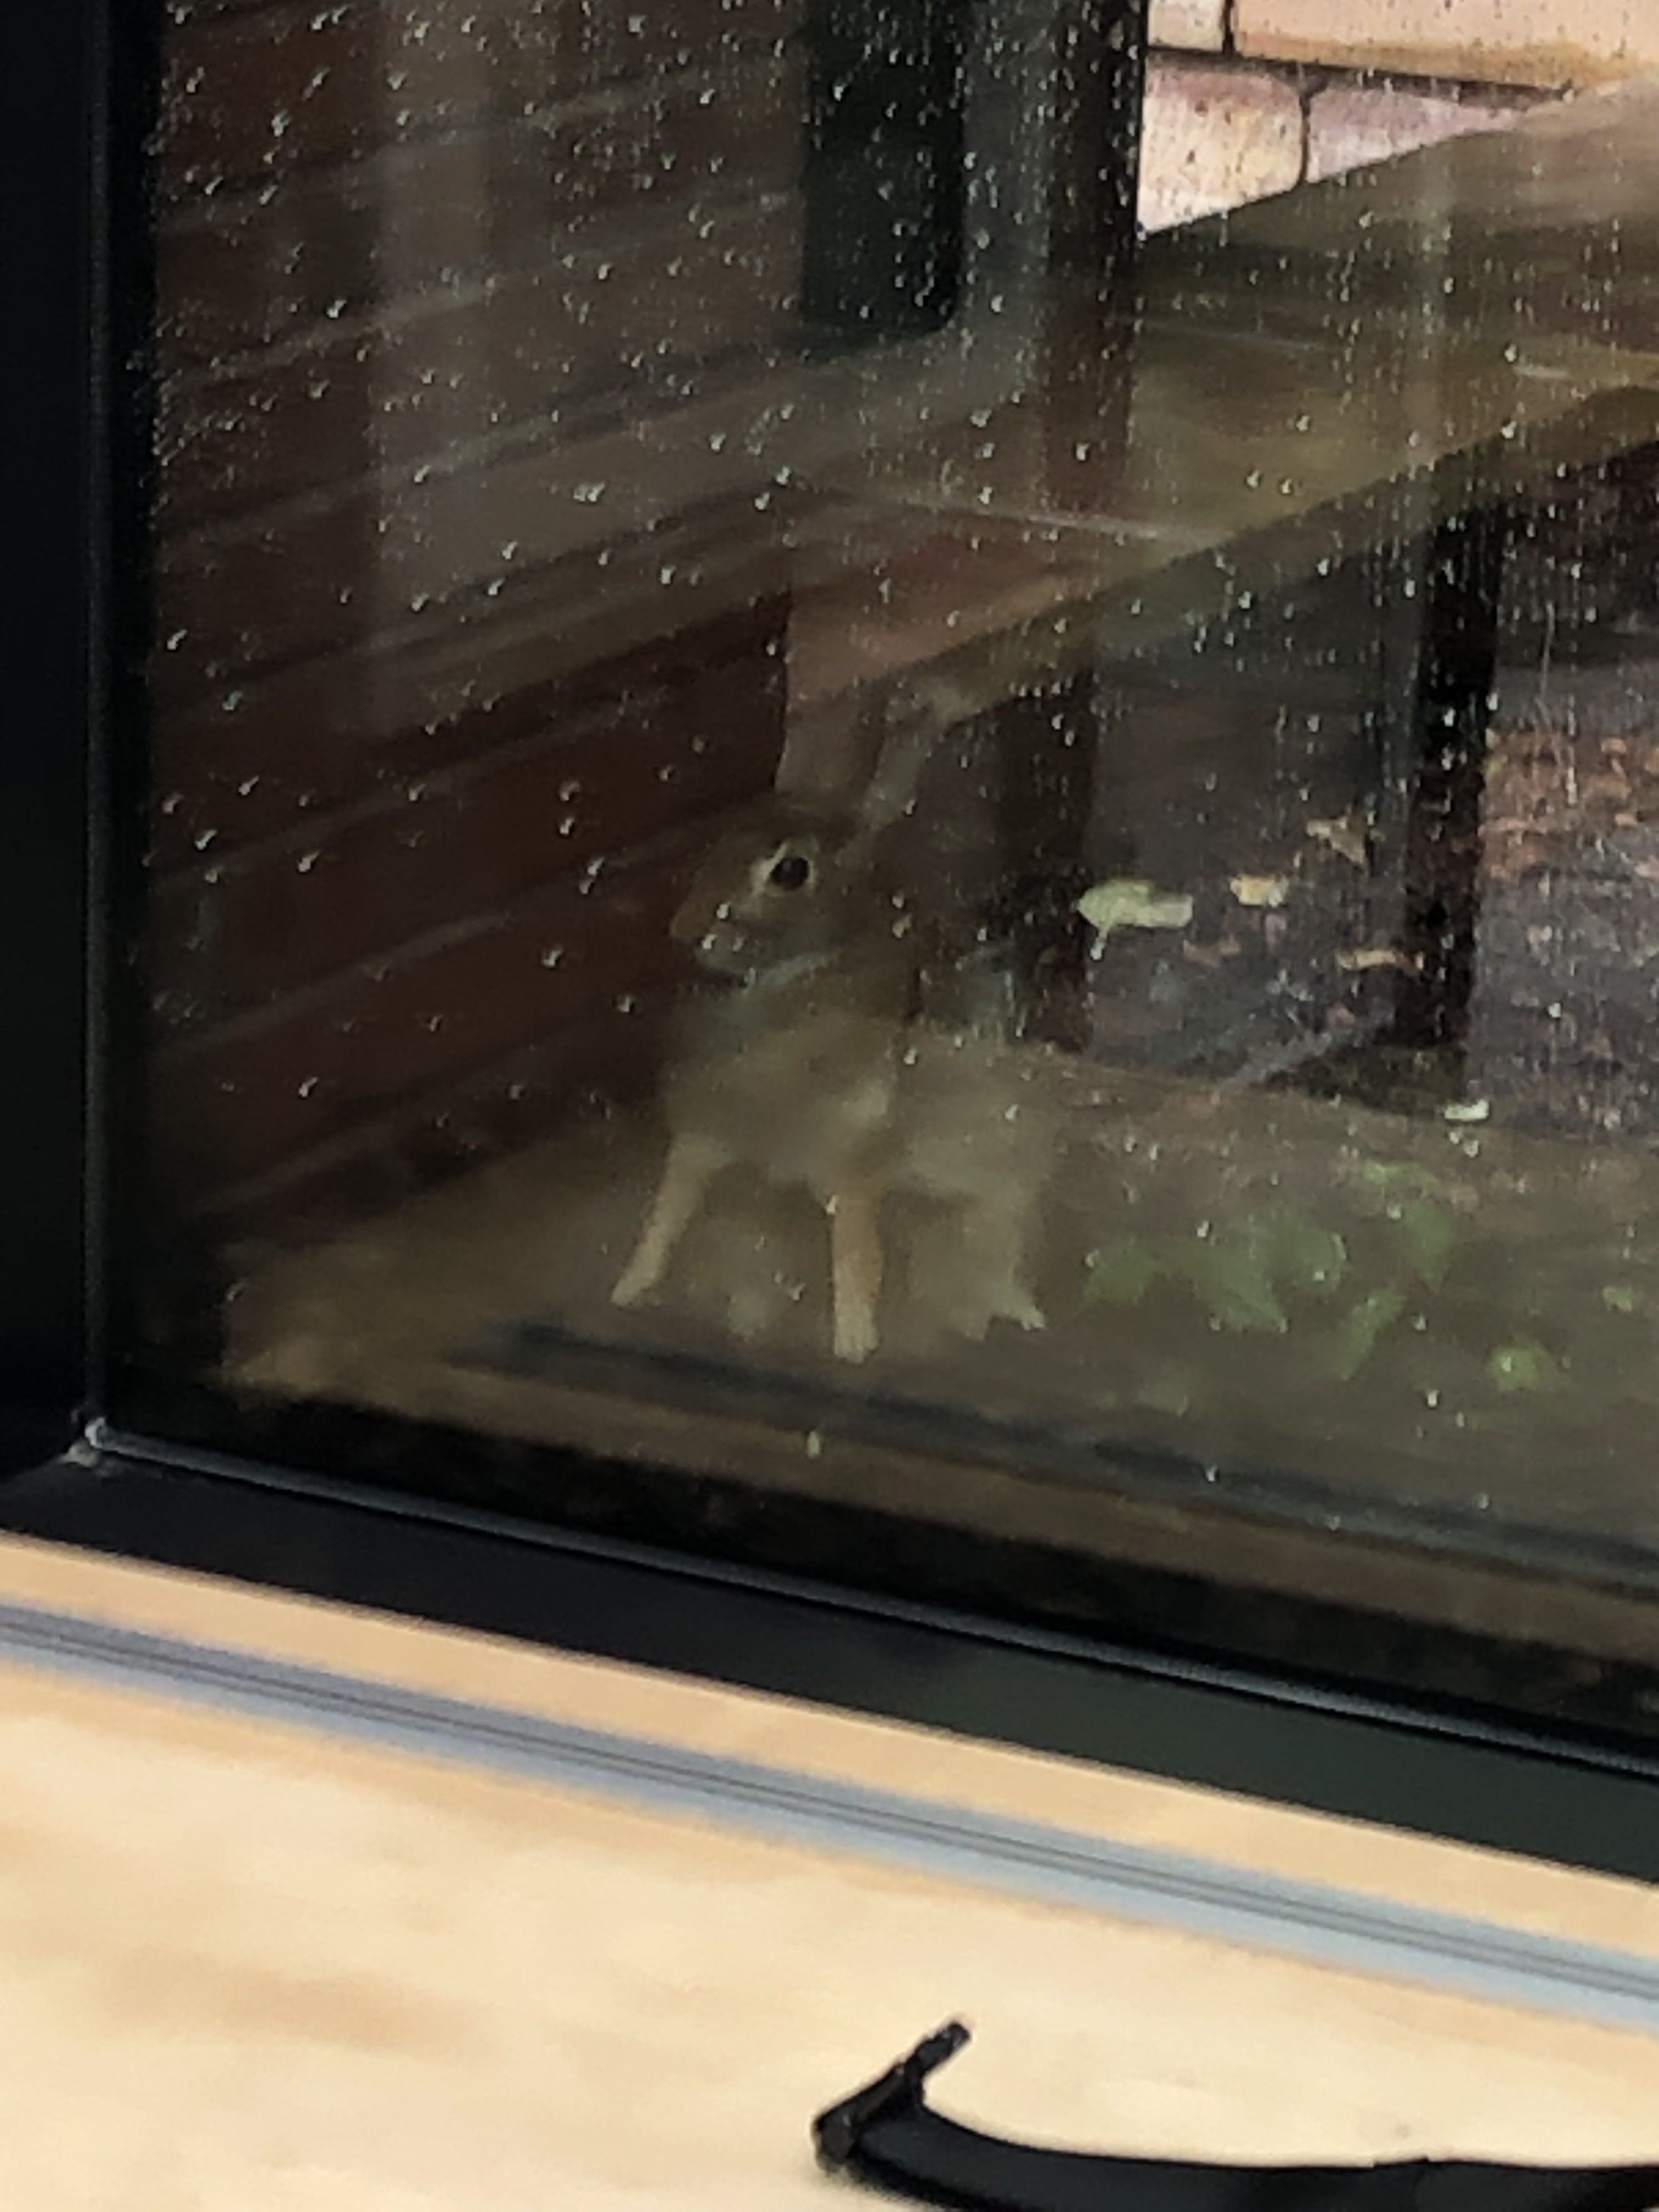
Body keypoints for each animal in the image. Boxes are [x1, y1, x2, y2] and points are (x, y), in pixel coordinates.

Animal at [611, 684, 1055, 1363]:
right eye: (721, 842)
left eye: (790, 871)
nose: (685, 930)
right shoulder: (702, 1140)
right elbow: (665, 1215)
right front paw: (627, 1290)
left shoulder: (853, 1162)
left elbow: (855, 1253)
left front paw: (852, 1345)